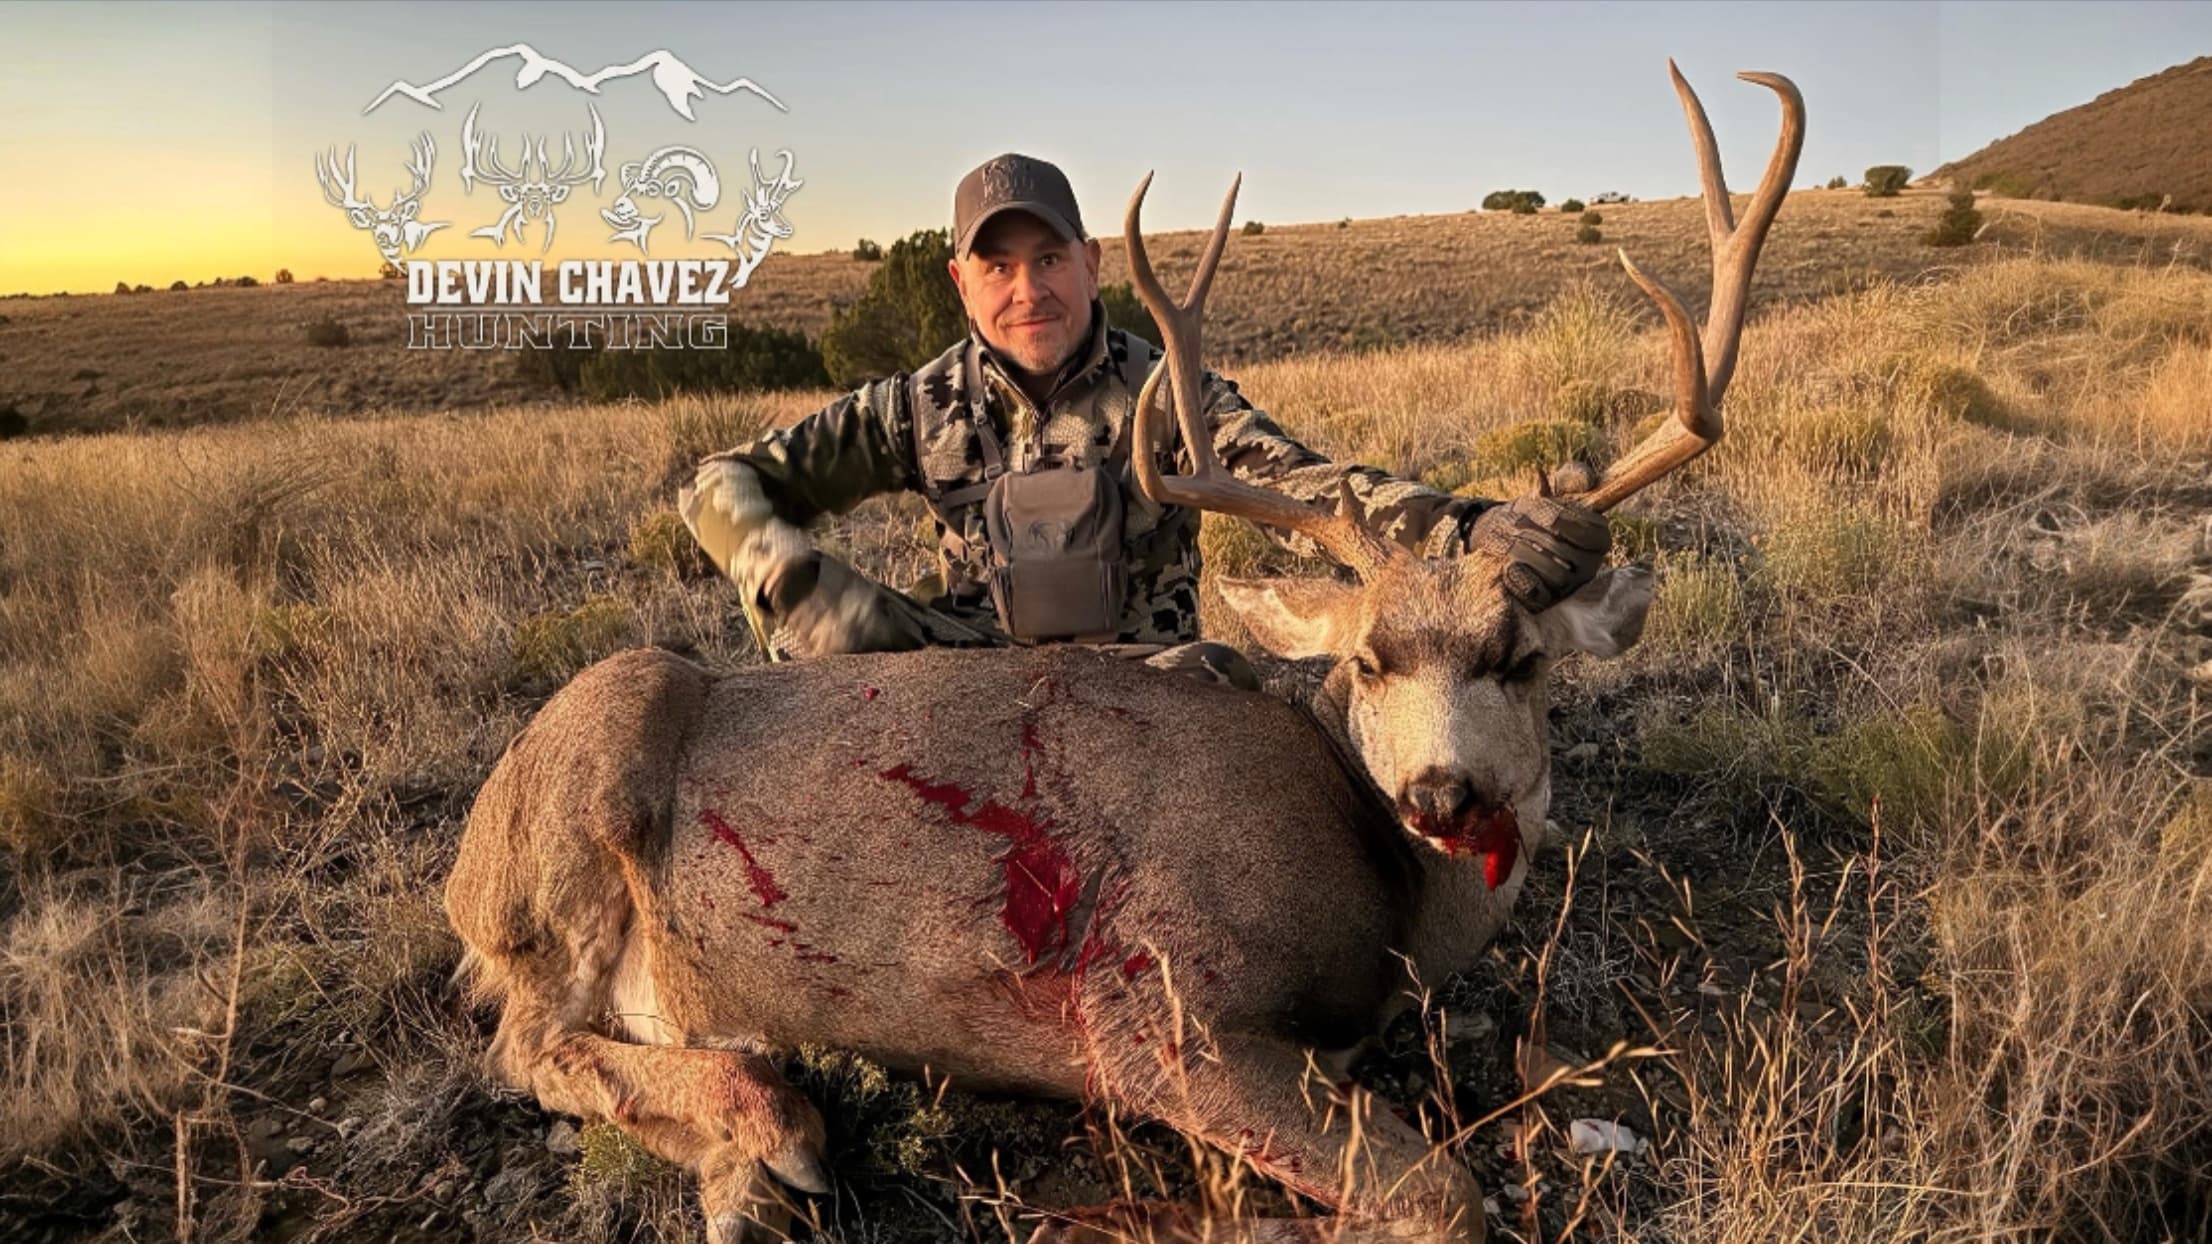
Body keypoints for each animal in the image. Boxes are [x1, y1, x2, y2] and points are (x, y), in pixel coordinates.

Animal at [445, 62, 1803, 1244]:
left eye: (1519, 656)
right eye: (1368, 661)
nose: (1440, 792)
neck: (1388, 894)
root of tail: (461, 872)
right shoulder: (1146, 1000)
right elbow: (1441, 1194)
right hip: (590, 783)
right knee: (526, 1041)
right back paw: (767, 1139)